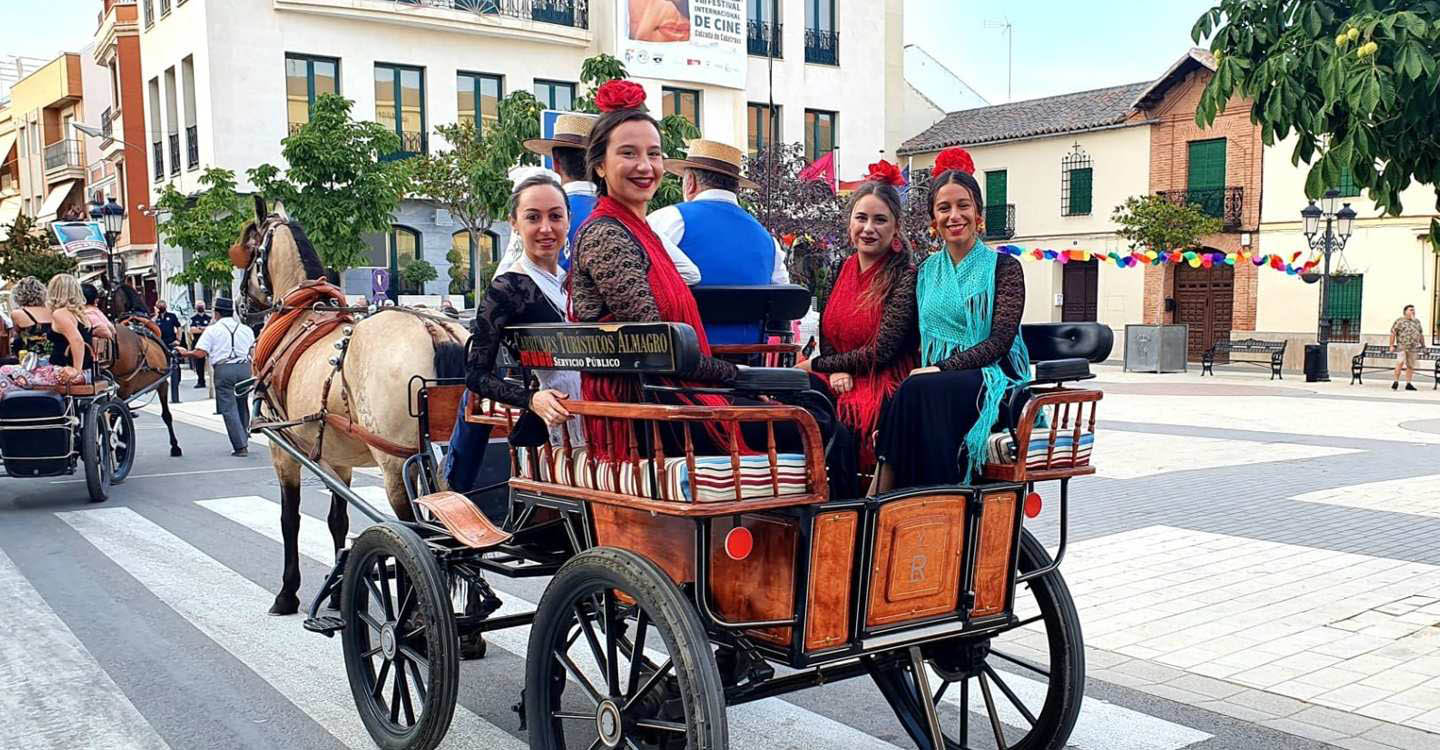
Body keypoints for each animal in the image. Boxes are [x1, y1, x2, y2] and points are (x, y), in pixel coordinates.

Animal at [230, 198, 466, 613]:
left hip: (396, 466)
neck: (299, 316)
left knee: (418, 537)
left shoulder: (283, 450)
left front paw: (287, 592)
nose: (238, 305)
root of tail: (435, 327)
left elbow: (289, 519)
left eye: (247, 245)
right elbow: (337, 519)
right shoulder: (338, 460)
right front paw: (339, 592)